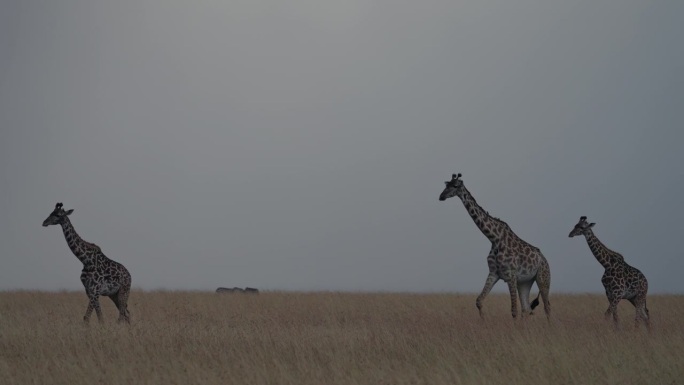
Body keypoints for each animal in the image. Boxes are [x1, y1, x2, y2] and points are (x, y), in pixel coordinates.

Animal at [438, 173, 552, 318]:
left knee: (547, 307)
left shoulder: (510, 275)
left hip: (543, 278)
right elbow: (479, 301)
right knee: (526, 308)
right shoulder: (493, 273)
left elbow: (513, 311)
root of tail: (544, 259)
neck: (494, 238)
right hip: (525, 282)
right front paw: (483, 321)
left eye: (455, 186)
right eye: (446, 185)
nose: (441, 196)